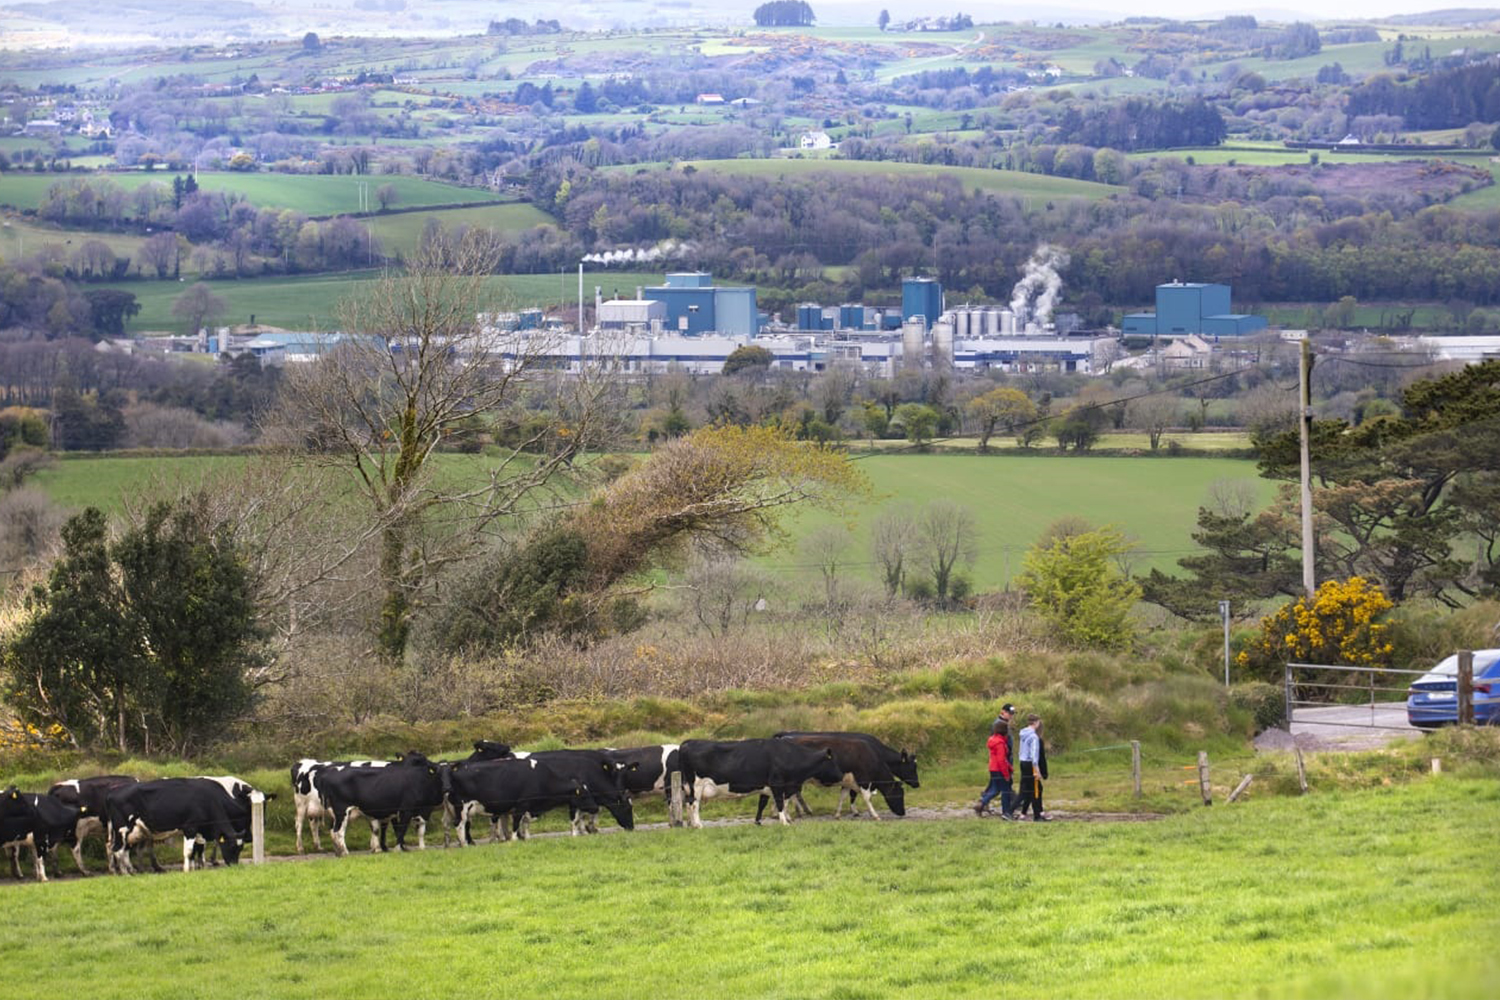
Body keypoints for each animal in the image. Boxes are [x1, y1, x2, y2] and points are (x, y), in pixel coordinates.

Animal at [102, 779, 258, 869]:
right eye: (231, 846)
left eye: (240, 848)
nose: (234, 865)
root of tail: (112, 793)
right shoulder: (190, 827)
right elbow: (189, 851)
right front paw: (187, 871)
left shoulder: (199, 831)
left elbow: (196, 851)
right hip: (122, 829)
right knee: (118, 850)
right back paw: (126, 873)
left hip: (129, 832)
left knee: (120, 850)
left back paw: (130, 871)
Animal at [315, 755, 444, 857]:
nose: (435, 766)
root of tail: (329, 774)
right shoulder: (405, 810)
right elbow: (401, 829)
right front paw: (398, 848)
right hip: (342, 811)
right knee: (338, 831)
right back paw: (345, 852)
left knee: (333, 831)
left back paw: (339, 852)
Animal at [438, 758, 597, 845]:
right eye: (584, 795)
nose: (596, 808)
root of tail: (453, 770)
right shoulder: (521, 805)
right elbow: (516, 824)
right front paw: (514, 840)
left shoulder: (529, 807)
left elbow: (525, 823)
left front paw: (527, 838)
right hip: (461, 807)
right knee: (459, 825)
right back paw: (464, 844)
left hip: (451, 809)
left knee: (450, 824)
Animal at [678, 734, 846, 827]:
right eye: (833, 762)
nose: (841, 775)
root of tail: (688, 742)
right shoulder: (777, 784)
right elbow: (780, 803)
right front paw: (784, 822)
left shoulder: (769, 787)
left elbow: (766, 804)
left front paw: (759, 822)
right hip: (696, 785)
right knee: (694, 805)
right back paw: (698, 825)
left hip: (688, 786)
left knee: (688, 804)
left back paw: (693, 825)